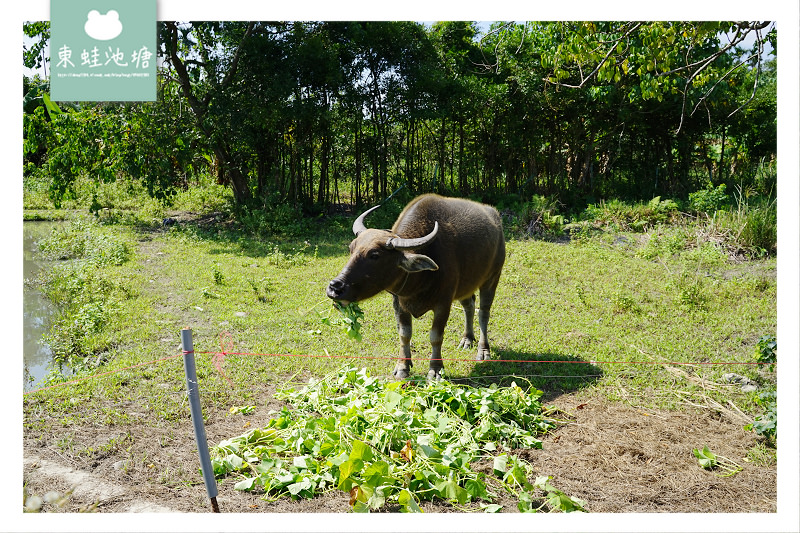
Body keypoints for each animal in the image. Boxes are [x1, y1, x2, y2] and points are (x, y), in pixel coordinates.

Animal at [326, 193, 506, 380]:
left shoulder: (443, 304)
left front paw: (435, 369)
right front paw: (402, 366)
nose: (335, 288)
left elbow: (435, 336)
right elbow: (404, 334)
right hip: (466, 285)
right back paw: (467, 339)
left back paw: (483, 350)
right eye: (351, 248)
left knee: (483, 313)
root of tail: (494, 216)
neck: (419, 279)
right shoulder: (399, 302)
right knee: (469, 305)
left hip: (492, 278)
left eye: (374, 255)